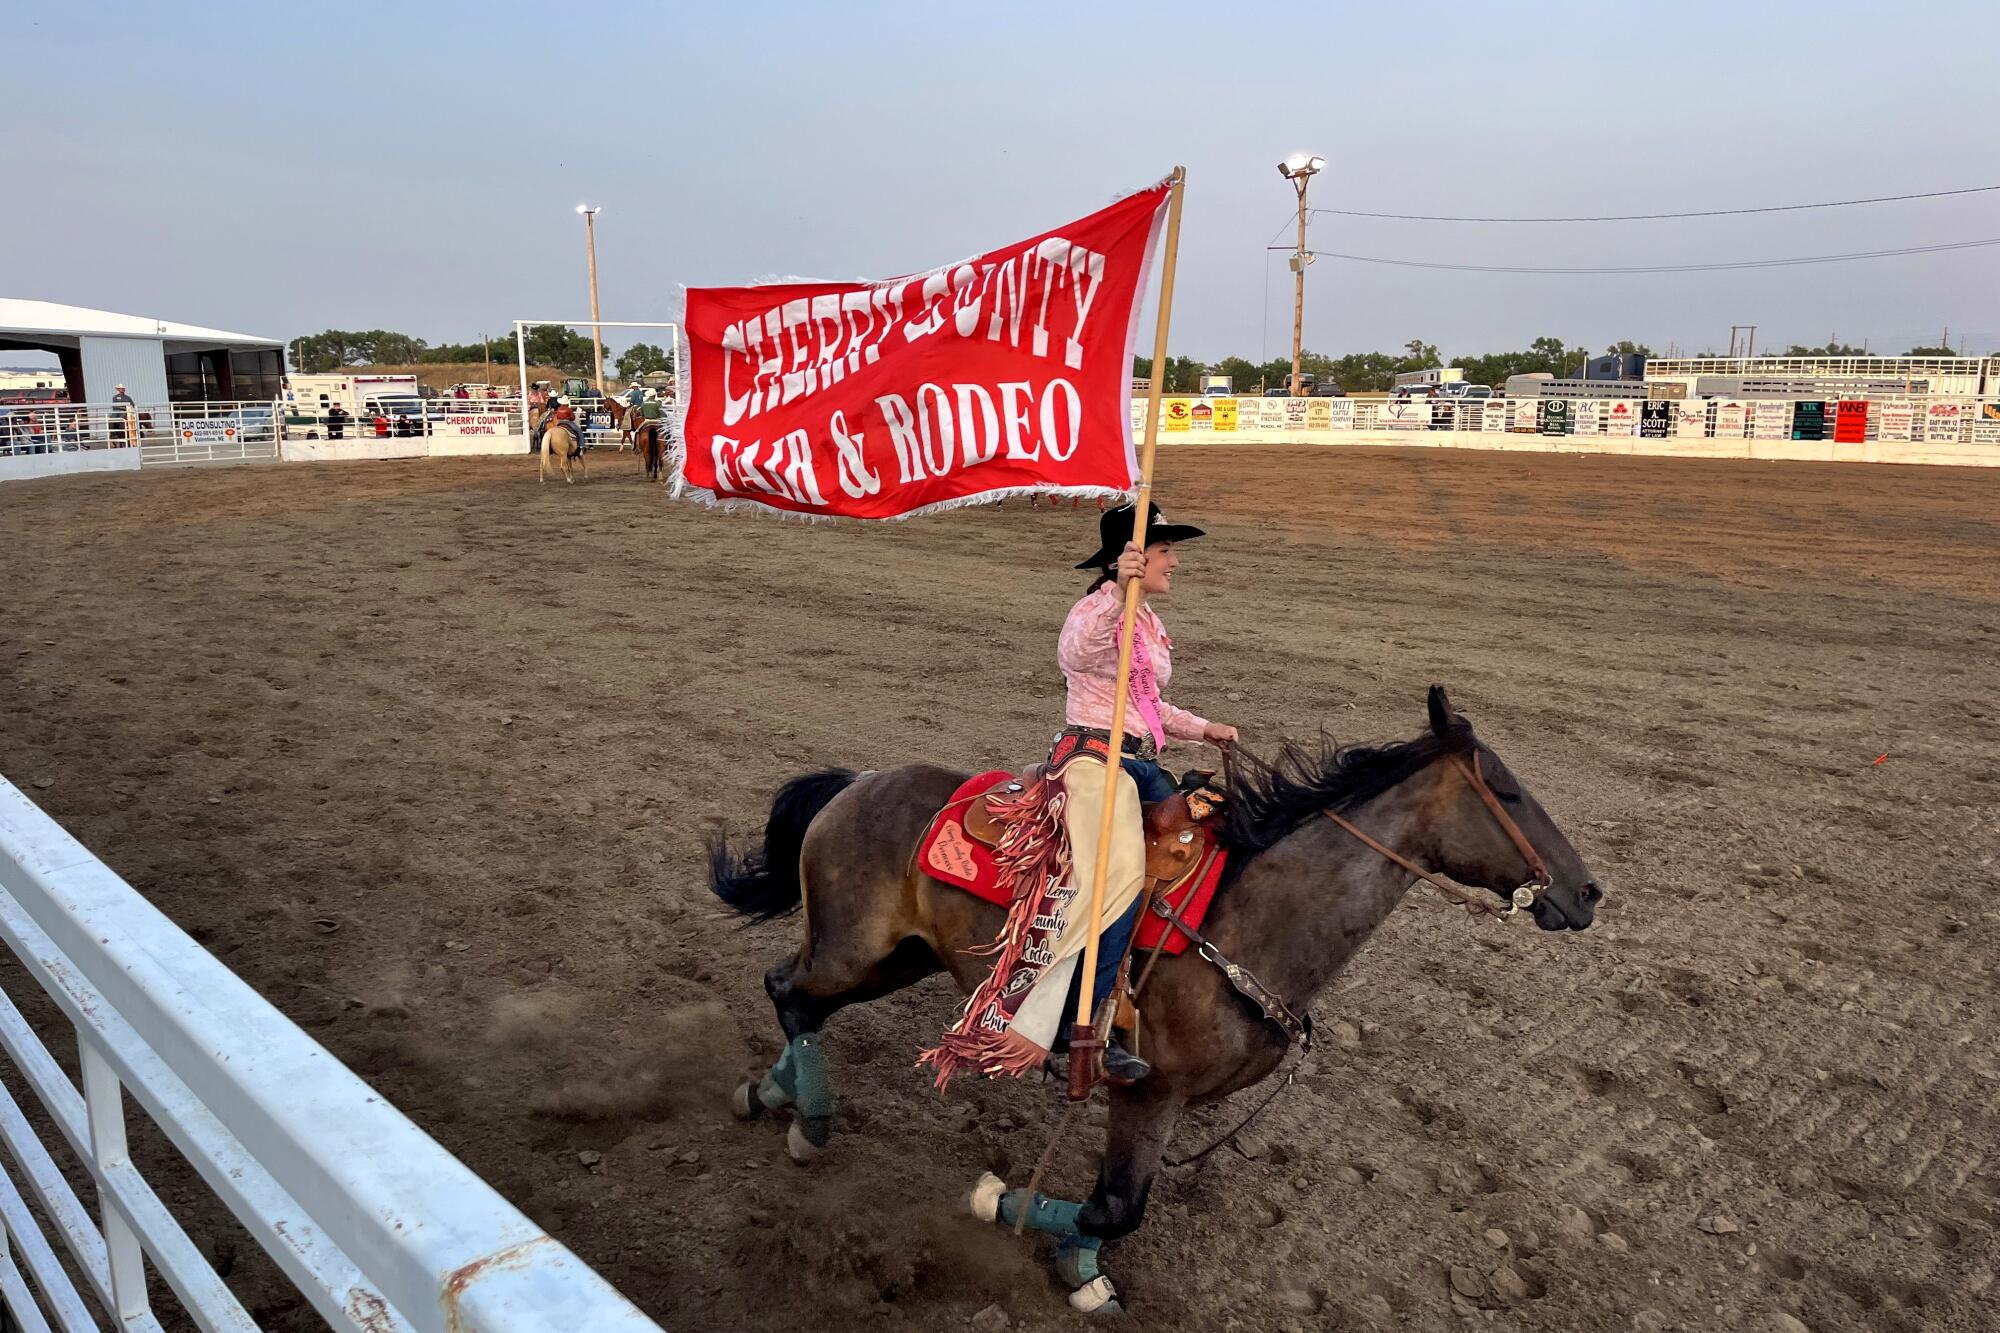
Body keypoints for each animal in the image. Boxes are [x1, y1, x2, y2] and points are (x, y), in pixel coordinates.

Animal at [712, 684, 1600, 1304]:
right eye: (1508, 793)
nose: (1588, 891)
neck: (1254, 918)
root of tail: (857, 780)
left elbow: (1113, 1209)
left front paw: (1078, 1268)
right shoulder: (1147, 1090)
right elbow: (1114, 1206)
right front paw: (1001, 1205)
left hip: (900, 957)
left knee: (794, 995)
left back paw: (772, 1097)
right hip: (853, 949)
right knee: (789, 990)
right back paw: (807, 1120)